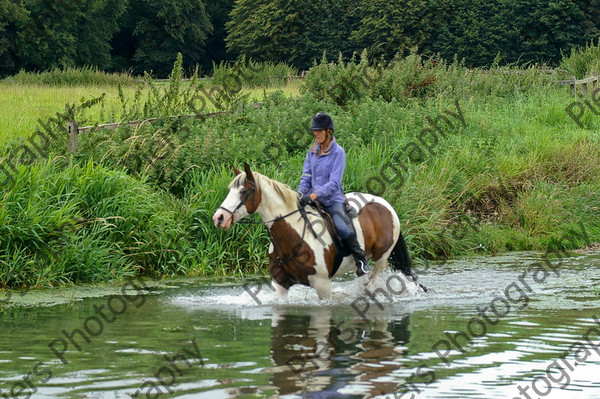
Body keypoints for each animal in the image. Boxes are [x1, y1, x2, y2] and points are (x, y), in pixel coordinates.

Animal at [212, 163, 422, 300]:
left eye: (243, 191)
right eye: (230, 190)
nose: (219, 218)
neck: (294, 236)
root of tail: (385, 204)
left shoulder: (322, 285)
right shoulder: (280, 282)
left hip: (380, 260)